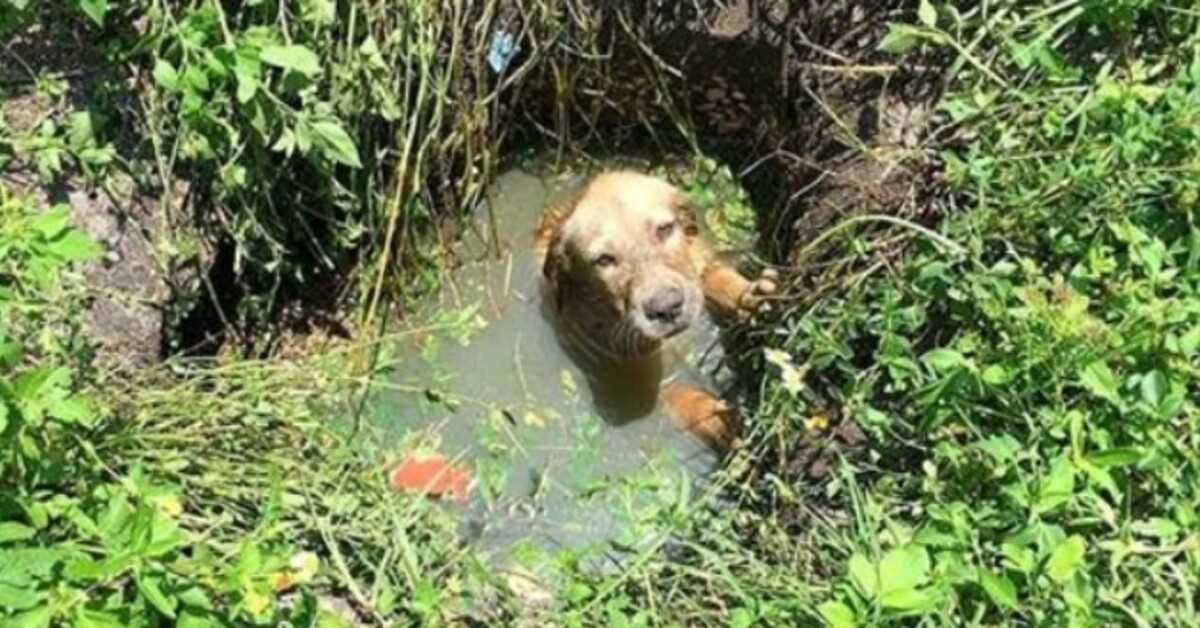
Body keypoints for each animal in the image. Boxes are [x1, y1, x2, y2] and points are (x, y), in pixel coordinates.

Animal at [537, 169, 777, 449]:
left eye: (664, 229)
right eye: (604, 260)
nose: (667, 309)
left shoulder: (699, 263)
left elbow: (715, 278)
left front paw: (753, 295)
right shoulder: (630, 375)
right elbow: (676, 395)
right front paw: (722, 421)